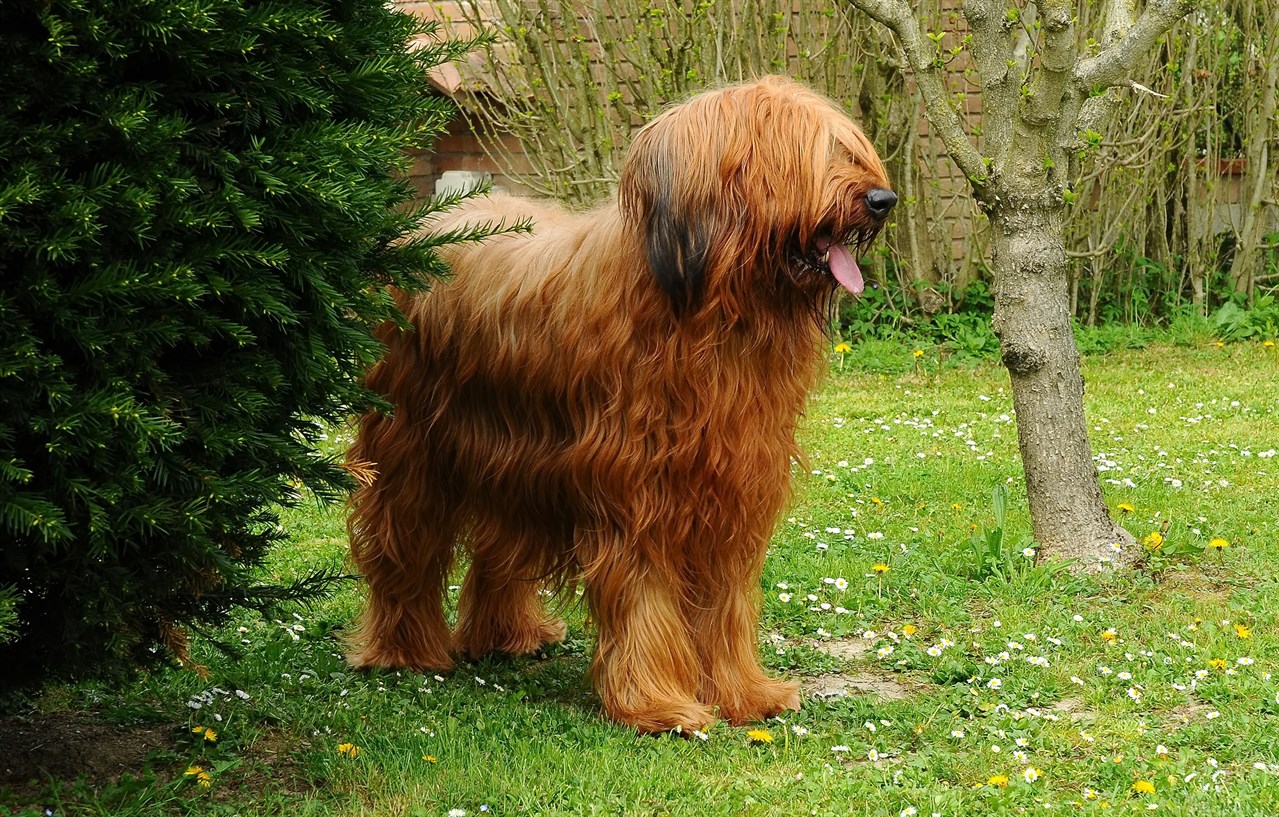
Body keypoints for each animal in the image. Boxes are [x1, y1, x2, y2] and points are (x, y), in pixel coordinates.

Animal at [345, 75, 895, 736]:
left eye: (847, 148)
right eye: (802, 153)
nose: (883, 199)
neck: (712, 315)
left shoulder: (734, 488)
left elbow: (726, 603)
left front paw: (746, 693)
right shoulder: (638, 488)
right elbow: (645, 597)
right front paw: (658, 704)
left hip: (511, 456)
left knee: (499, 543)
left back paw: (509, 635)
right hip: (412, 445)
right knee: (403, 544)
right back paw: (402, 650)